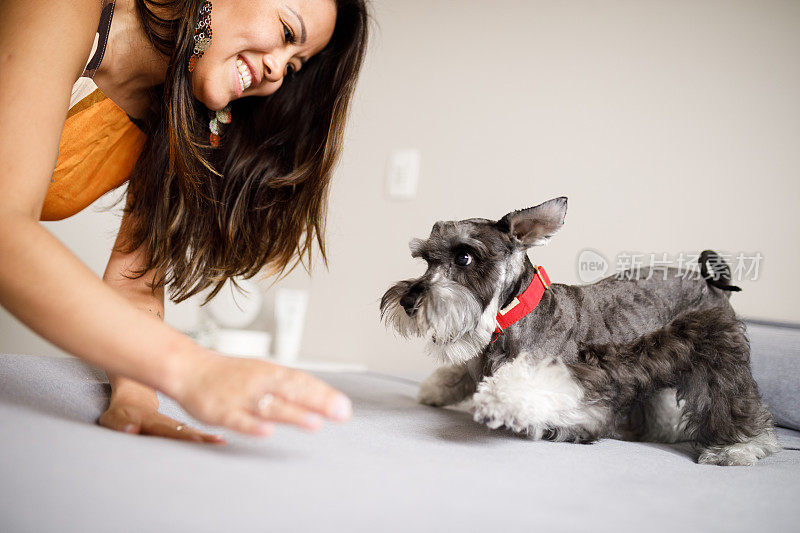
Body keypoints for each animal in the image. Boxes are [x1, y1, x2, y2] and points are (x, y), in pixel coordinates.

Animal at [382, 196, 780, 466]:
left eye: (464, 257)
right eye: (426, 260)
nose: (408, 301)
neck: (515, 316)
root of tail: (711, 282)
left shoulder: (586, 390)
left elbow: (528, 387)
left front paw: (497, 401)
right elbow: (465, 372)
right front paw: (437, 388)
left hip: (718, 355)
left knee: (735, 402)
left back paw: (738, 446)